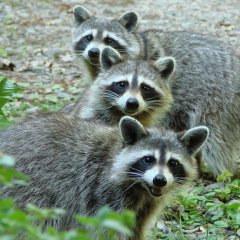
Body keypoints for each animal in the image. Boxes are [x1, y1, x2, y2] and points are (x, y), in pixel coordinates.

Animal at [0, 111, 208, 239]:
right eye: (148, 159)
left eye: (173, 163)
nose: (160, 180)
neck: (141, 188)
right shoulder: (103, 193)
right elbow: (107, 230)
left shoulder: (147, 205)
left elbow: (136, 229)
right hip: (26, 189)